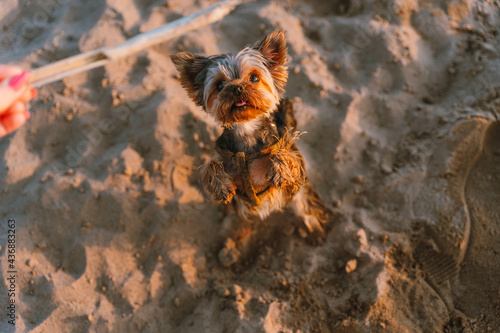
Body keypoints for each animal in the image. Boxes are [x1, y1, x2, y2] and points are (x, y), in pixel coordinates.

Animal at [172, 31, 332, 237]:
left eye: (254, 78)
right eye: (220, 85)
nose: (236, 87)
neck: (246, 129)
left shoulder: (295, 169)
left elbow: (287, 156)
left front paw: (279, 167)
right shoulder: (223, 155)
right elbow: (212, 164)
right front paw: (220, 185)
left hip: (302, 195)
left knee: (307, 205)